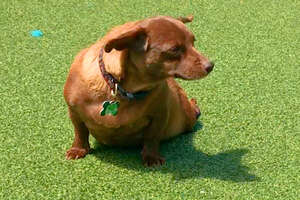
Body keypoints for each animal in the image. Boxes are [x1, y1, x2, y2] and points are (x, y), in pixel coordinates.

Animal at [63, 15, 213, 166]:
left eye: (193, 42)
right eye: (174, 49)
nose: (211, 65)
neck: (122, 89)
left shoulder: (160, 114)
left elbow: (152, 137)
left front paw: (151, 156)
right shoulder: (74, 111)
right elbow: (80, 132)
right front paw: (78, 149)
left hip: (186, 117)